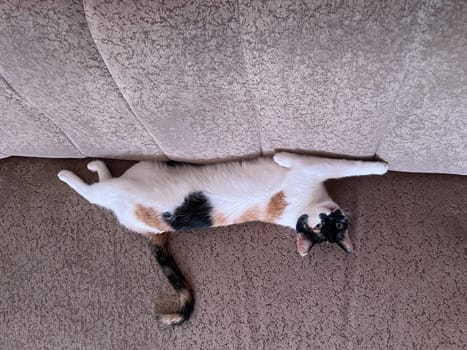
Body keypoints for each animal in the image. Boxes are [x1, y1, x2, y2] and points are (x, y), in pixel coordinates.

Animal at [57, 152, 388, 326]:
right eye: (324, 225)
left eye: (336, 225)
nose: (333, 216)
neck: (302, 210)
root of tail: (154, 232)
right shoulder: (311, 171)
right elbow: (345, 166)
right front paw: (381, 165)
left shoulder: (309, 169)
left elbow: (344, 166)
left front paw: (380, 166)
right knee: (100, 186)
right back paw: (87, 167)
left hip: (121, 192)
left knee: (95, 193)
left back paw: (75, 173)